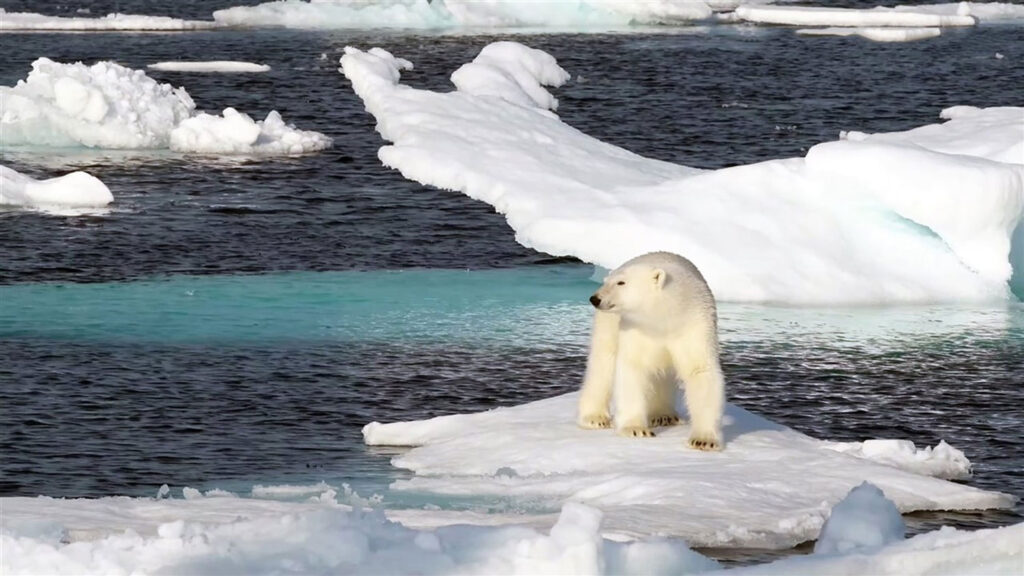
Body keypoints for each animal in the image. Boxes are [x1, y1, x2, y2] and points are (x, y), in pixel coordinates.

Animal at [577, 251, 725, 451]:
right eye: (606, 281)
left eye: (621, 282)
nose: (595, 298)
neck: (664, 318)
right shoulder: (634, 327)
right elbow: (632, 366)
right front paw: (635, 429)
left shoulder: (694, 325)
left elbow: (699, 369)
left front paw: (704, 440)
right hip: (607, 323)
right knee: (603, 363)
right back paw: (594, 417)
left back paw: (664, 415)